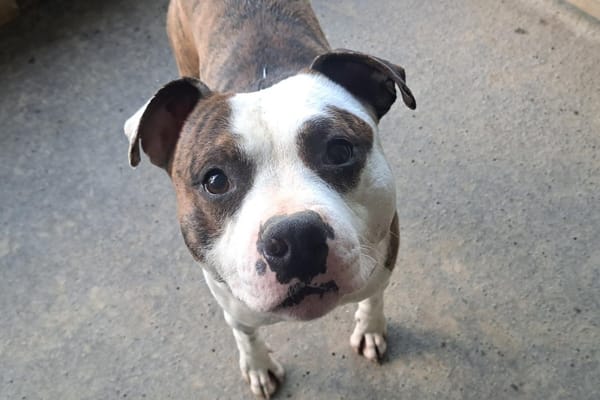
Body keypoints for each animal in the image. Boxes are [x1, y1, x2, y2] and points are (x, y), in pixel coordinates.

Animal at [124, 0, 415, 397]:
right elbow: (246, 334)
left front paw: (370, 328)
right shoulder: (234, 305)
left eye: (339, 151)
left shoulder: (382, 261)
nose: (296, 236)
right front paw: (258, 366)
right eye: (215, 180)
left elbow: (373, 297)